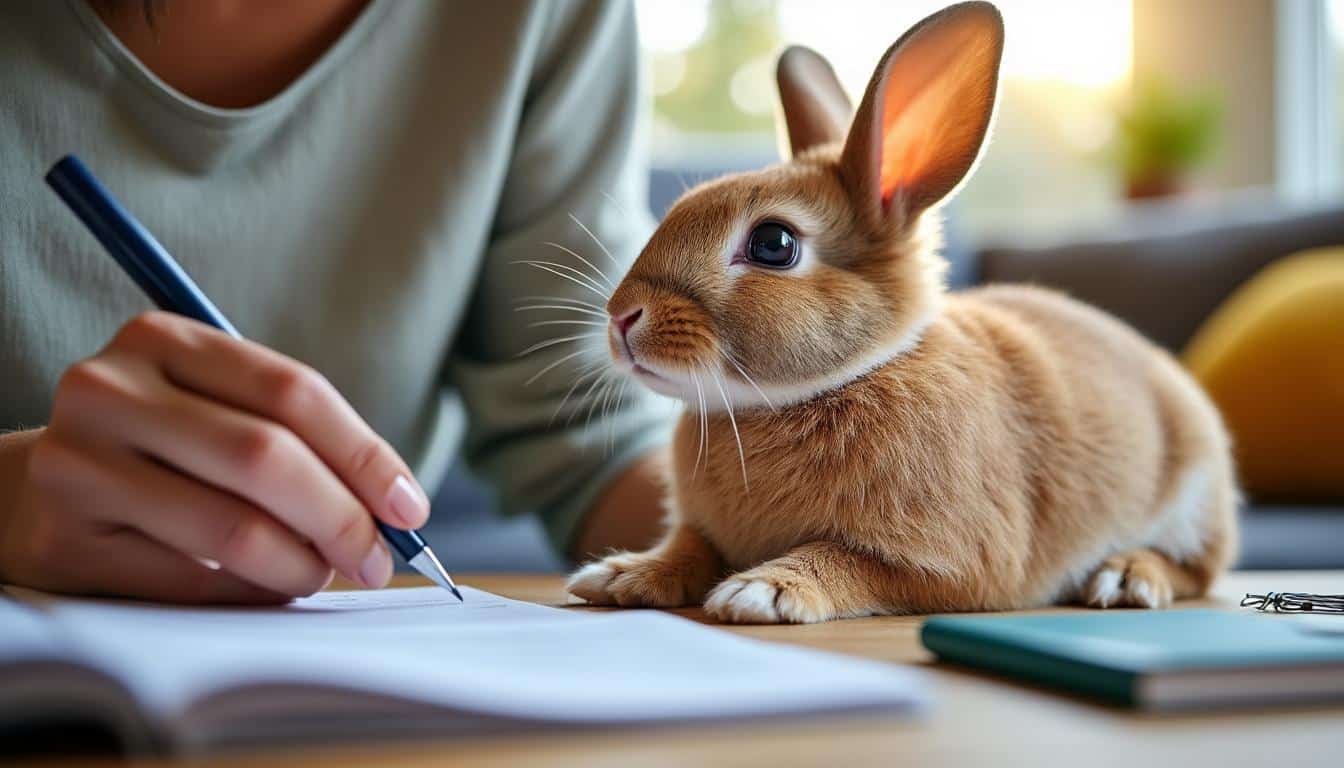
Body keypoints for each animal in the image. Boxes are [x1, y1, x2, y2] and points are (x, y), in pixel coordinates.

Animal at [566, 1, 1238, 624]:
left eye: (773, 244)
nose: (622, 317)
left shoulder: (948, 560)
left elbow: (848, 562)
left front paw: (763, 591)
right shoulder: (700, 531)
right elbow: (687, 548)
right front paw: (620, 576)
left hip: (1194, 497)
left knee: (1196, 569)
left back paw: (1126, 578)